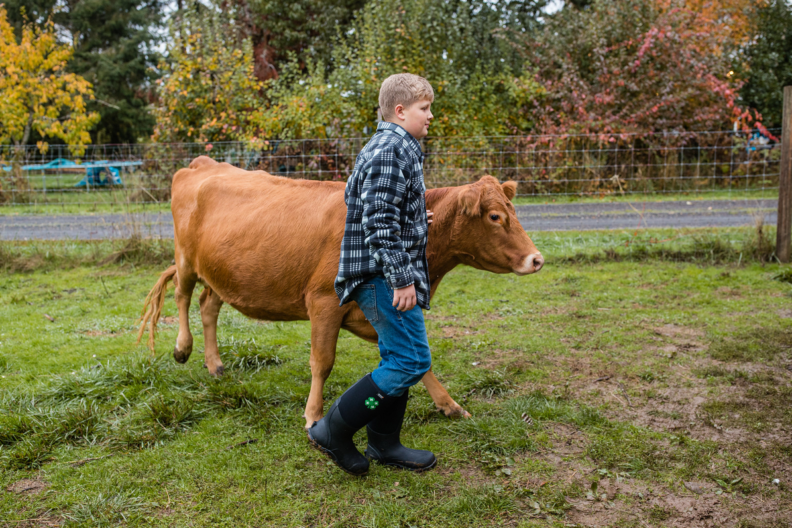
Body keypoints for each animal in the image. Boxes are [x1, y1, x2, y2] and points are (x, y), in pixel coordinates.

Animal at [138, 156, 544, 429]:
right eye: (495, 217)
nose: (536, 259)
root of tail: (203, 162)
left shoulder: (379, 312)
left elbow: (419, 360)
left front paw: (450, 405)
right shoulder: (324, 303)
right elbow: (322, 362)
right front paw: (314, 415)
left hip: (222, 272)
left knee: (208, 306)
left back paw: (215, 364)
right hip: (186, 258)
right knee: (183, 296)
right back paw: (182, 348)